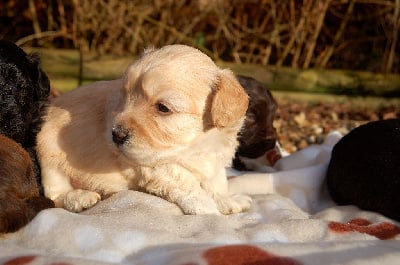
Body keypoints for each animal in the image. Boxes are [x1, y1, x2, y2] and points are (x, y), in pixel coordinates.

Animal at [36, 44, 250, 214]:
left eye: (163, 108)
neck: (196, 147)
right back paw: (80, 198)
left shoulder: (215, 158)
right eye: (126, 95)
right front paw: (207, 207)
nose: (116, 135)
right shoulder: (156, 166)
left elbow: (217, 182)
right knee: (55, 194)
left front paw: (226, 200)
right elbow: (187, 182)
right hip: (48, 153)